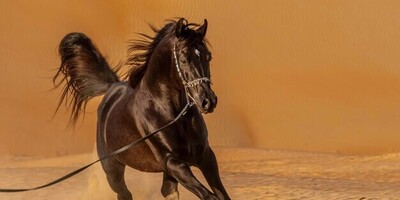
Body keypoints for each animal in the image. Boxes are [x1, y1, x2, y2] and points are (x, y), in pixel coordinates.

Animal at [52, 18, 231, 200]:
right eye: (183, 60)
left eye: (208, 57)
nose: (208, 101)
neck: (170, 113)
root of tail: (112, 88)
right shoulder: (173, 162)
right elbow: (210, 196)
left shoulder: (205, 157)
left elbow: (221, 195)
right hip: (113, 170)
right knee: (124, 193)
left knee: (167, 191)